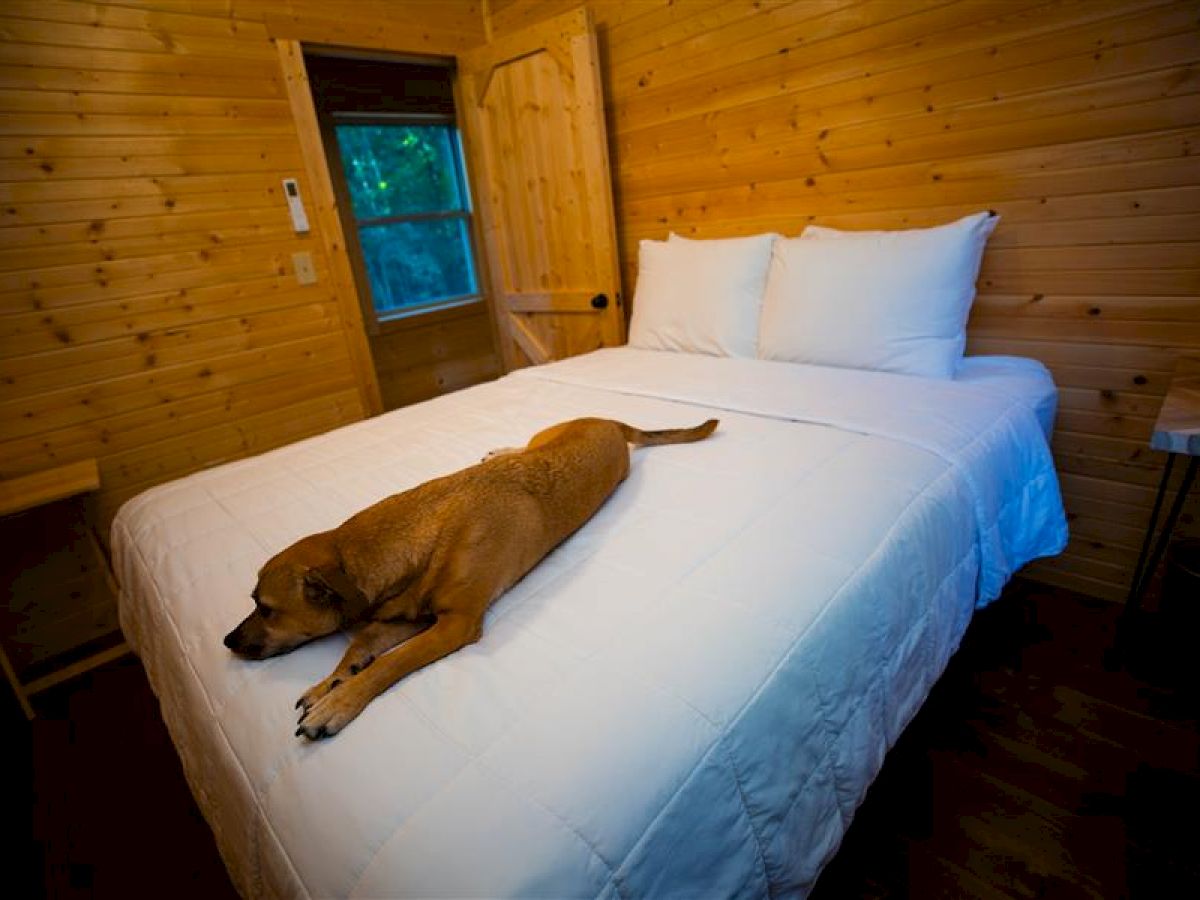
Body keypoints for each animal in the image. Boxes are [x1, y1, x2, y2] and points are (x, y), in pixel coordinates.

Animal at [222, 415, 715, 739]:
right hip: (544, 434)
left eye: (265, 608)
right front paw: (331, 682)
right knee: (524, 444)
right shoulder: (409, 616)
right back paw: (500, 452)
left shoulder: (452, 625)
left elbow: (389, 664)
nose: (227, 642)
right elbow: (361, 646)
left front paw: (341, 702)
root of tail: (609, 421)